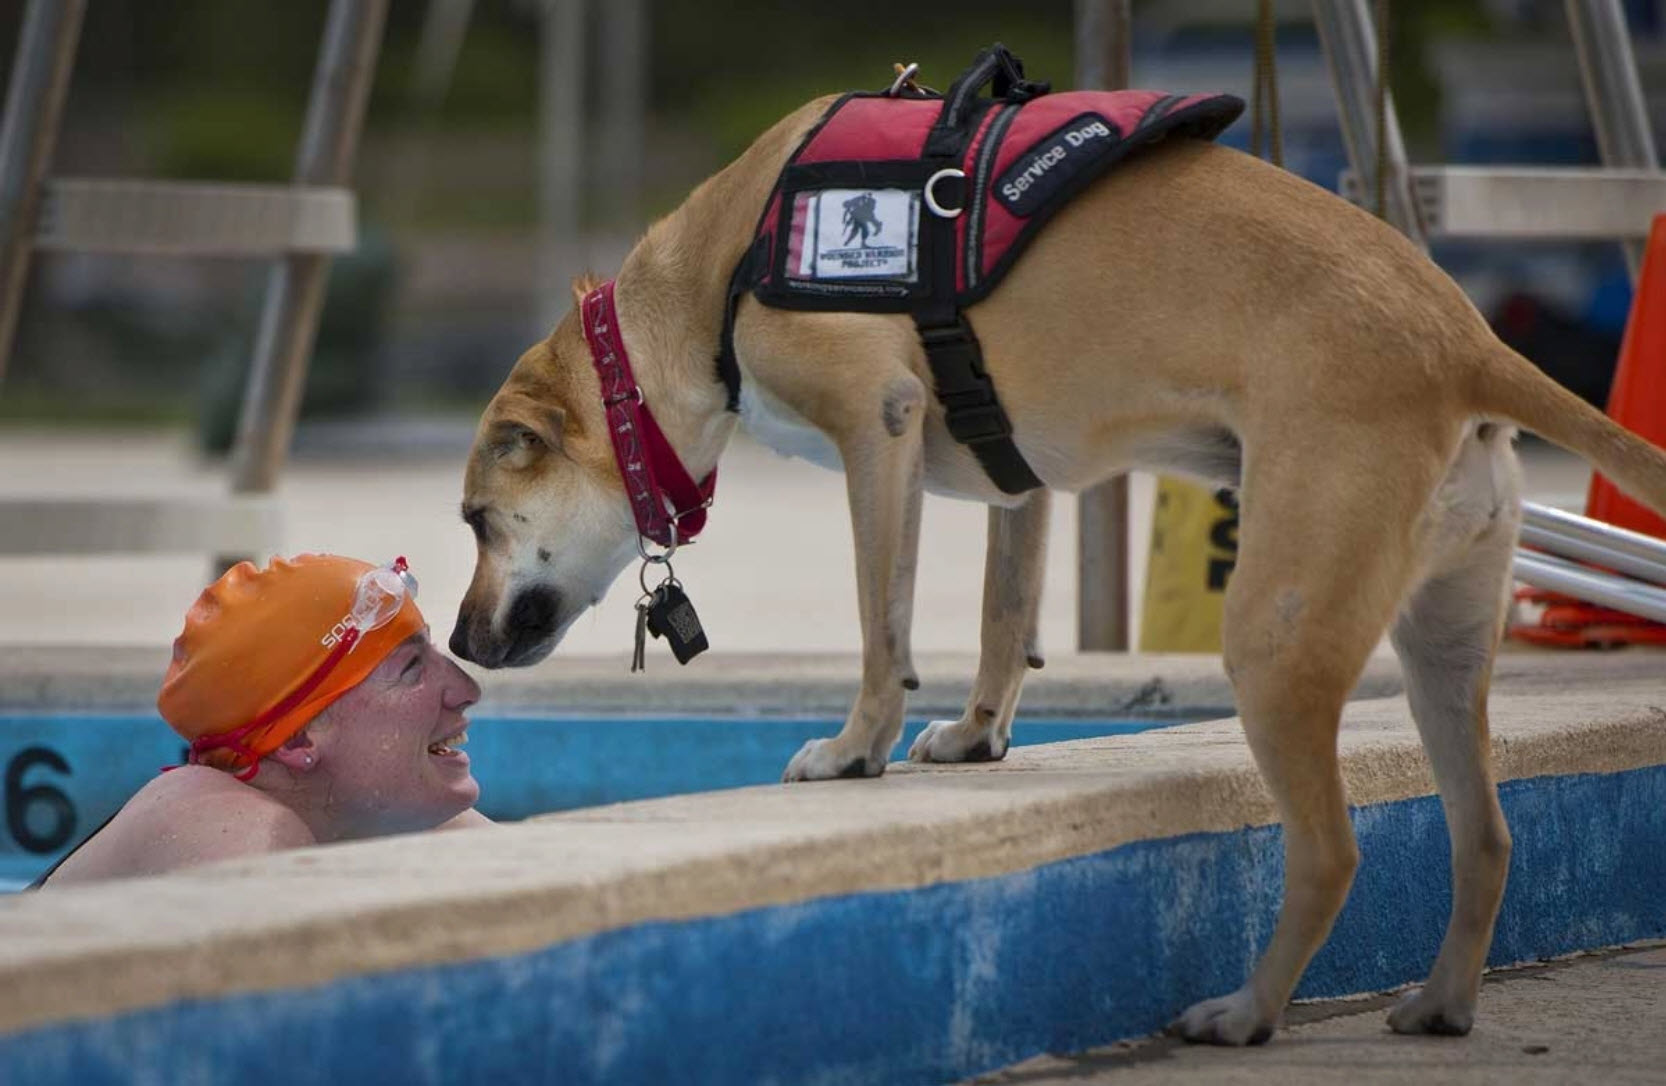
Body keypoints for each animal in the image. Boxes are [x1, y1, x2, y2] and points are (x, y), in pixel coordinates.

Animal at [449, 65, 1666, 1046]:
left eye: (472, 520)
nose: (457, 640)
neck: (715, 274)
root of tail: (1465, 340)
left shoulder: (878, 428)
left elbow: (881, 627)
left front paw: (854, 750)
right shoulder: (1014, 477)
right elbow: (1003, 613)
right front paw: (978, 736)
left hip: (1276, 637)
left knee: (1331, 852)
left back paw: (1248, 1013)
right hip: (1443, 645)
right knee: (1488, 836)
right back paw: (1440, 1002)